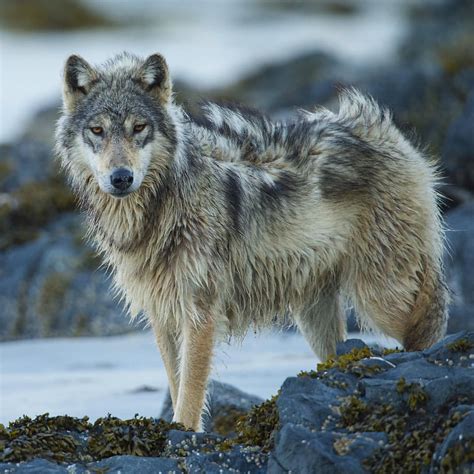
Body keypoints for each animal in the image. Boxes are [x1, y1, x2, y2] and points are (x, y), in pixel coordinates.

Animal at [55, 52, 448, 434]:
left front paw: (182, 435)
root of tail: (386, 130)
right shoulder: (163, 315)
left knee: (425, 336)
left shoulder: (200, 313)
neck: (163, 205)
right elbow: (176, 381)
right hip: (314, 316)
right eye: (97, 131)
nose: (121, 178)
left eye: (138, 128)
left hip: (381, 299)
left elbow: (189, 396)